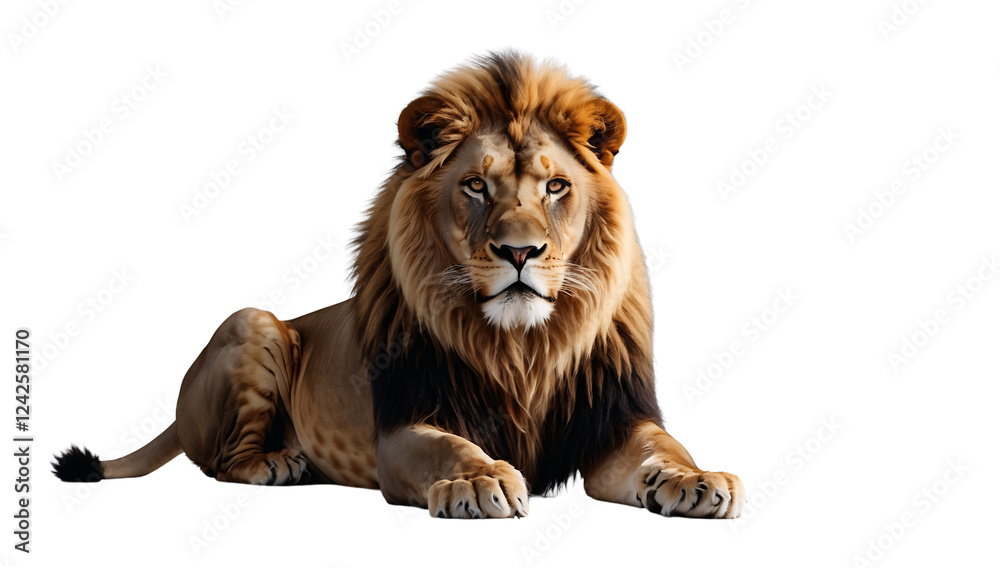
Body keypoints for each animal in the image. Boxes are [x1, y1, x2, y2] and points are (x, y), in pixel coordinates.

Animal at [53, 52, 745, 519]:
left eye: (555, 187)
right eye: (475, 185)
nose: (519, 251)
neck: (522, 348)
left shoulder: (612, 424)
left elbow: (664, 447)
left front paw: (698, 480)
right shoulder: (407, 425)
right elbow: (452, 448)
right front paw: (479, 482)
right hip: (252, 322)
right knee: (220, 463)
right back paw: (278, 463)